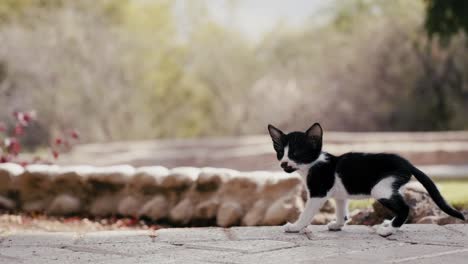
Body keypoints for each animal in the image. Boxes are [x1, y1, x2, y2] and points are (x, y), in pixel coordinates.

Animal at [266, 122, 464, 236]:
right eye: (280, 152)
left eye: (296, 153)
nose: (284, 163)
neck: (313, 164)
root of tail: (407, 163)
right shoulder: (340, 194)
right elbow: (341, 211)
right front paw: (338, 224)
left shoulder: (318, 193)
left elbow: (306, 213)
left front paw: (295, 227)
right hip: (392, 186)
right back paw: (389, 223)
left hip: (381, 188)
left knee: (405, 208)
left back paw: (388, 230)